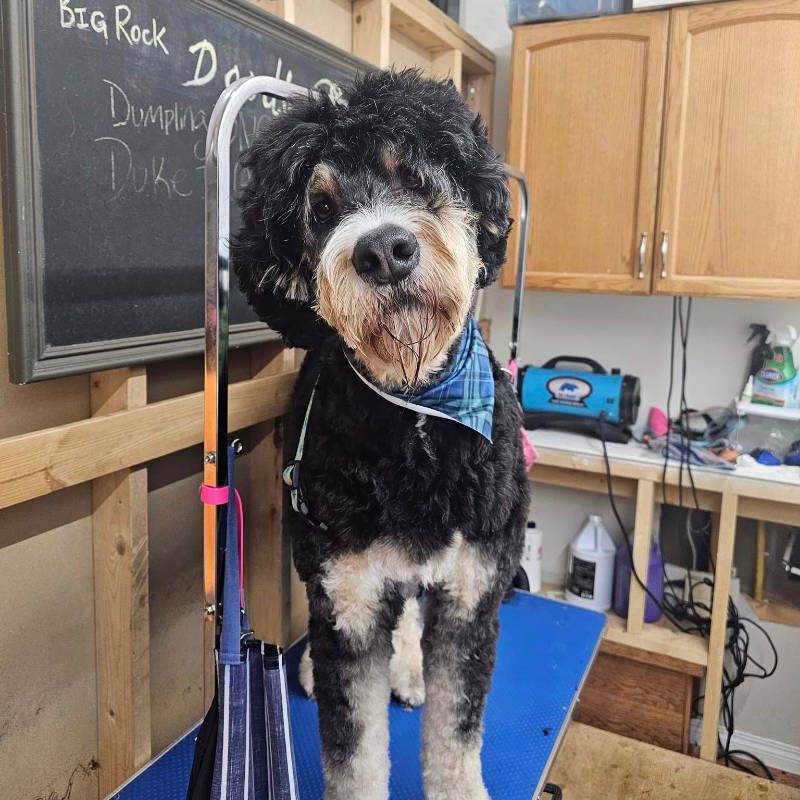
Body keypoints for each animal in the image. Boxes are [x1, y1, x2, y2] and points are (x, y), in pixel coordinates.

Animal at [233, 70, 532, 800]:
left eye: (417, 178)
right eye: (320, 208)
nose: (384, 251)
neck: (417, 416)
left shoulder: (471, 598)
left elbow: (456, 738)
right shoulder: (350, 601)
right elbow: (354, 752)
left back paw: (408, 670)